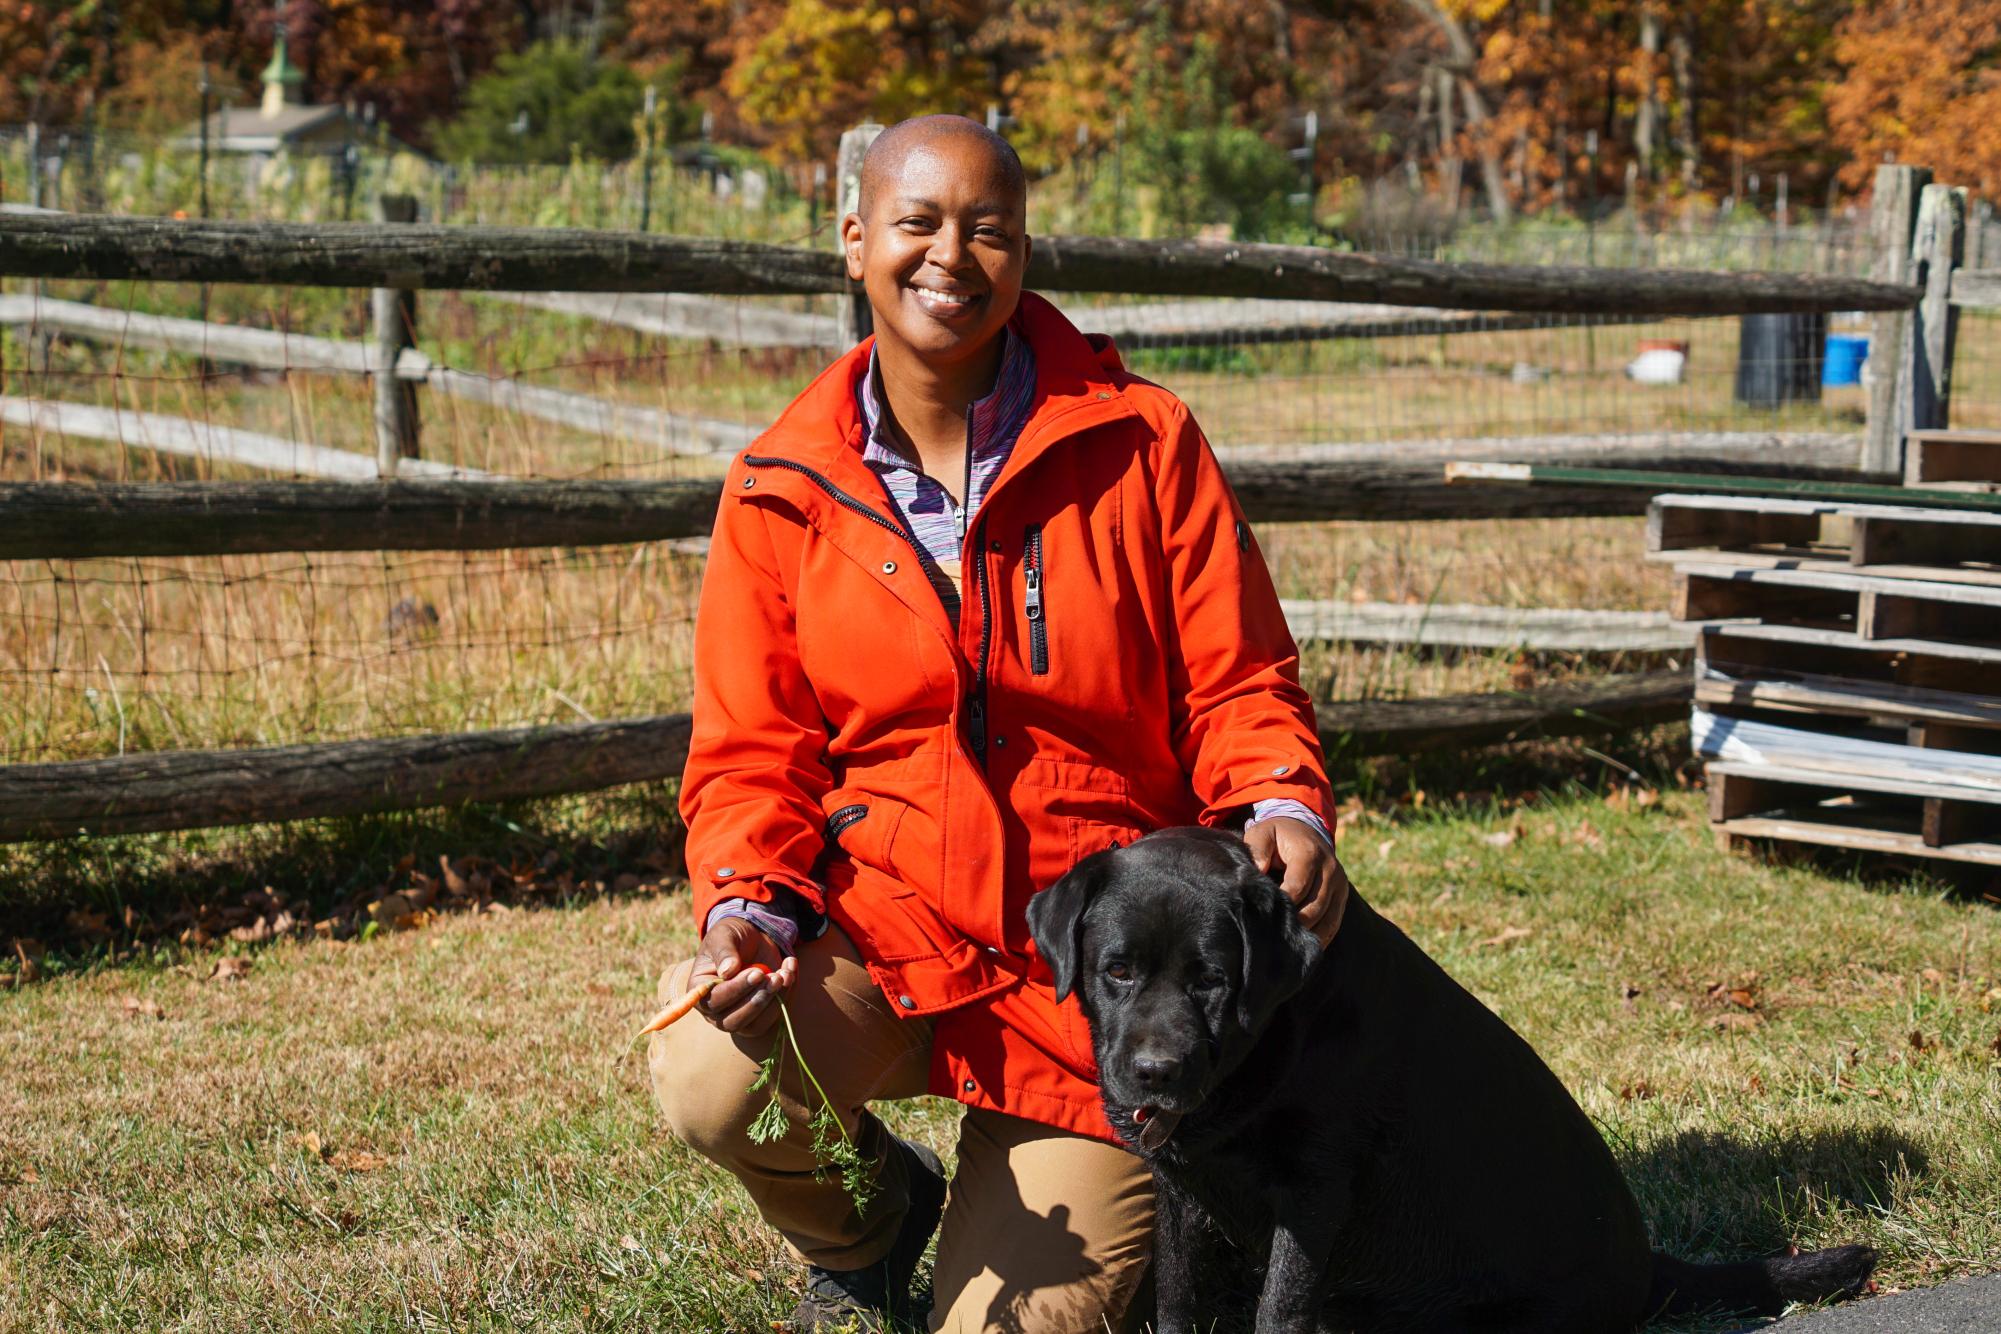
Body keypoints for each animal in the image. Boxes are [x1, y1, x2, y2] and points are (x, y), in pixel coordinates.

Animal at [1032, 828, 1872, 1328]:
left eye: (1210, 979)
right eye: (1116, 970)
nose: (1153, 1072)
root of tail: (1644, 1267)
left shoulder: (1313, 1193)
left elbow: (1280, 1308)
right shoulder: (1181, 1190)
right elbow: (1177, 1298)